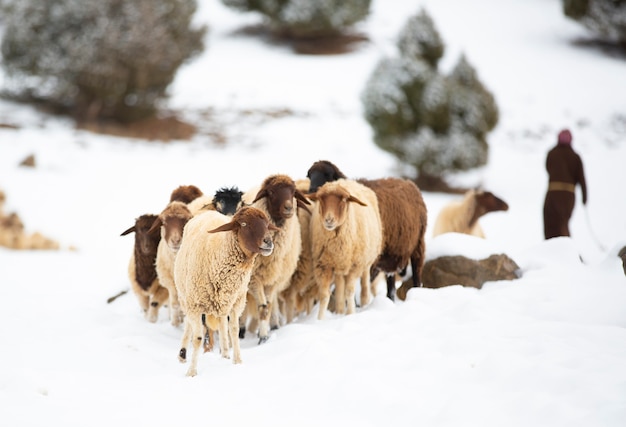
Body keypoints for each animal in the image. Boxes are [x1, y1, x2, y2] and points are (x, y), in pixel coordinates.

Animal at [172, 207, 276, 378]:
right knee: (188, 324)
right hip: (185, 297)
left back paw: (225, 354)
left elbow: (233, 330)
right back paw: (182, 354)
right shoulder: (195, 305)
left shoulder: (236, 302)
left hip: (222, 302)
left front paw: (237, 361)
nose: (268, 242)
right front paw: (191, 372)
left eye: (267, 224)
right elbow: (198, 338)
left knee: (222, 324)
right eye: (244, 224)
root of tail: (208, 212)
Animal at [304, 161, 426, 304]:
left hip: (418, 246)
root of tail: (408, 183)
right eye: (309, 175)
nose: (312, 190)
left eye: (328, 174)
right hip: (391, 256)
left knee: (417, 277)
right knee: (391, 286)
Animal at [306, 178, 382, 320]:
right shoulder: (323, 266)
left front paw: (351, 314)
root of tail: (346, 181)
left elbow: (349, 291)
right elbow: (324, 296)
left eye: (344, 199)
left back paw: (364, 304)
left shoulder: (355, 266)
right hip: (339, 268)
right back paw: (340, 312)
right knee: (340, 289)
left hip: (366, 260)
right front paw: (319, 320)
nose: (329, 220)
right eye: (320, 198)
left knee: (364, 285)